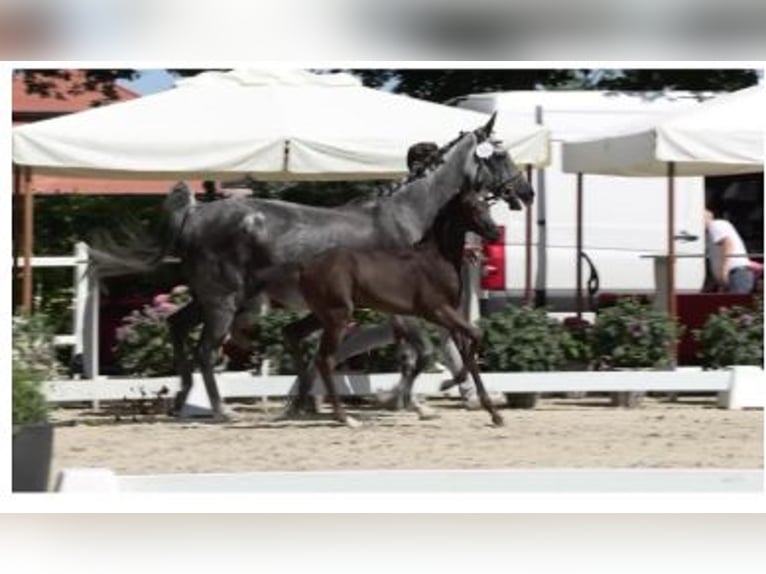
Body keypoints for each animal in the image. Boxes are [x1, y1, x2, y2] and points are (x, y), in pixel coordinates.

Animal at [266, 187, 504, 427]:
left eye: (487, 204)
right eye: (472, 207)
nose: (495, 233)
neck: (435, 259)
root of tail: (304, 266)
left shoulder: (450, 315)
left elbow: (469, 356)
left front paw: (494, 413)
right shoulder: (436, 311)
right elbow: (475, 336)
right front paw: (442, 386)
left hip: (322, 313)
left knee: (292, 333)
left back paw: (299, 402)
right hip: (337, 316)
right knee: (324, 359)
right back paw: (343, 417)